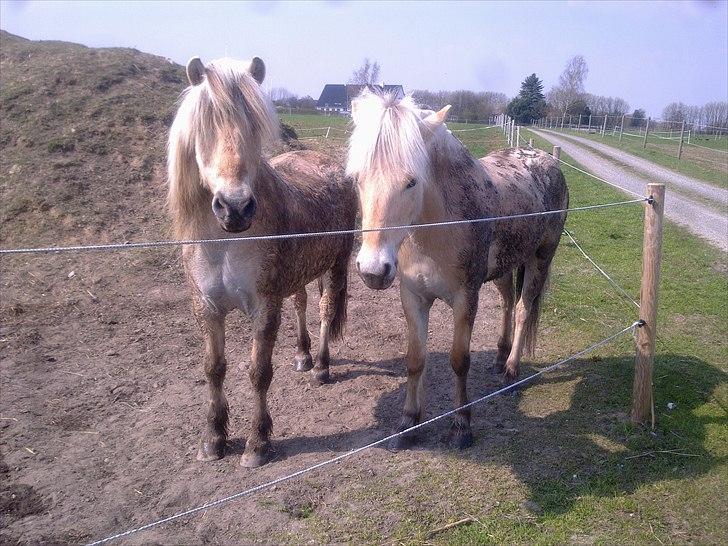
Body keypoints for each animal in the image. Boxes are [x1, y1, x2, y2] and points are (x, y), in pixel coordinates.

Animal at [168, 55, 356, 466]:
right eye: (205, 127)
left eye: (253, 127)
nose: (235, 207)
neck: (226, 242)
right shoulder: (207, 309)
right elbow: (214, 369)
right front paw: (214, 438)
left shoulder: (264, 308)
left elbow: (259, 372)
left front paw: (257, 442)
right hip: (303, 272)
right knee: (302, 303)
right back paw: (302, 356)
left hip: (337, 265)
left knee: (325, 309)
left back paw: (321, 367)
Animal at [346, 91, 568, 450]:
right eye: (356, 178)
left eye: (411, 182)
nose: (373, 270)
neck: (436, 227)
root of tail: (547, 161)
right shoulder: (413, 297)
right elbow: (415, 359)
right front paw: (408, 424)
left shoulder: (466, 298)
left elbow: (459, 361)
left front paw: (462, 425)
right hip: (504, 268)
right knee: (508, 303)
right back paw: (499, 359)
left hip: (540, 258)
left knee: (524, 308)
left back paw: (511, 371)